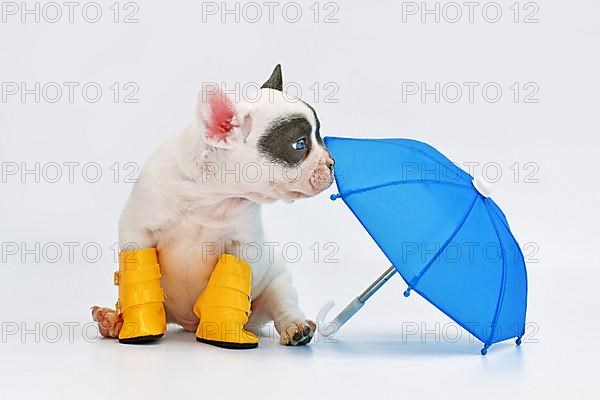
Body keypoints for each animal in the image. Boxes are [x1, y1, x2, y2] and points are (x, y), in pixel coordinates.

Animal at [94, 65, 338, 344]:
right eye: (299, 144)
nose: (332, 163)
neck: (209, 196)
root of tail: (188, 324)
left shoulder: (243, 246)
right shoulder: (137, 231)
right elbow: (138, 281)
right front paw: (137, 327)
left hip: (278, 282)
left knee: (283, 305)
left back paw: (296, 327)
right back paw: (112, 320)